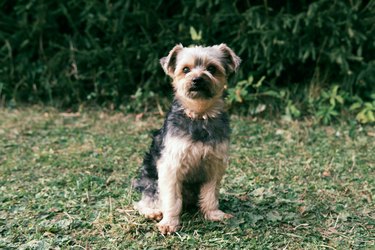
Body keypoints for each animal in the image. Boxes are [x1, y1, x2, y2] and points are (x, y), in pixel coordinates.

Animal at [134, 43, 242, 234]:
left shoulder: (214, 165)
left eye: (212, 69)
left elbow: (210, 194)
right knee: (144, 200)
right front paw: (169, 223)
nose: (197, 79)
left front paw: (214, 214)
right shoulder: (171, 166)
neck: (199, 114)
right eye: (185, 69)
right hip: (150, 180)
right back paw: (152, 212)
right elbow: (171, 199)